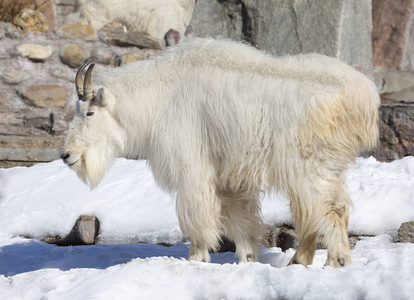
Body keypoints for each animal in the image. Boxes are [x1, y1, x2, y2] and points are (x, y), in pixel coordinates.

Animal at [59, 38, 380, 268]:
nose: (66, 155)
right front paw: (247, 259)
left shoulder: (193, 168)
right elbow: (241, 219)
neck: (160, 97)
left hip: (309, 166)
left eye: (89, 112)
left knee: (330, 209)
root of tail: (364, 97)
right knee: (317, 212)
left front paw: (196, 258)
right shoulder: (230, 177)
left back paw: (334, 261)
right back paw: (299, 261)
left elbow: (196, 216)